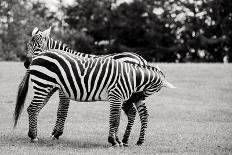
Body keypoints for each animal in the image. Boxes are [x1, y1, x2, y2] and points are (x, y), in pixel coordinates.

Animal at [13, 49, 175, 147]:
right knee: (33, 109)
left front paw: (116, 140)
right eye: (155, 89)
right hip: (43, 84)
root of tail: (37, 57)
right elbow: (115, 120)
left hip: (48, 88)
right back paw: (34, 136)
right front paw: (114, 141)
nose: (131, 100)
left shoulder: (117, 98)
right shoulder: (116, 96)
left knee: (33, 109)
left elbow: (116, 120)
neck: (132, 77)